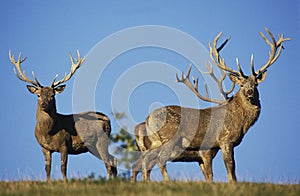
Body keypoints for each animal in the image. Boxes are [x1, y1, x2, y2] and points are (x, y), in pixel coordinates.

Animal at [9, 50, 117, 181]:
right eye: (38, 95)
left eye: (52, 95)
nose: (44, 104)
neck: (49, 132)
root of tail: (108, 120)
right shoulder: (44, 148)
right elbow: (47, 168)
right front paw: (48, 182)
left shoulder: (64, 145)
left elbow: (63, 167)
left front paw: (65, 182)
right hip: (93, 146)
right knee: (113, 159)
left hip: (101, 140)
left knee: (108, 162)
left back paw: (109, 180)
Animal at [132, 28, 290, 183]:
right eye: (241, 85)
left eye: (255, 84)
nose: (250, 92)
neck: (240, 122)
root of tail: (148, 118)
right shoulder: (223, 141)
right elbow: (230, 169)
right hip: (169, 138)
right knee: (159, 160)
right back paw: (168, 181)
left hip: (154, 143)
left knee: (144, 162)